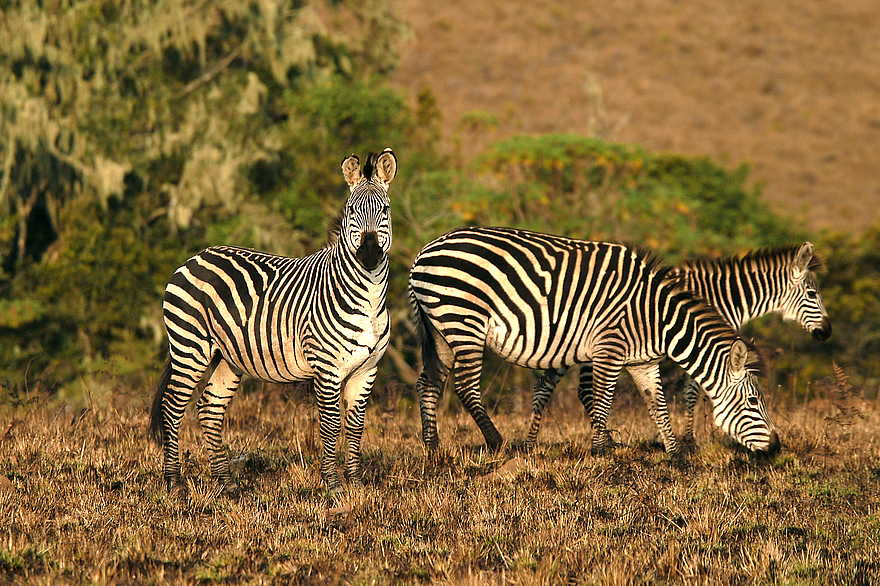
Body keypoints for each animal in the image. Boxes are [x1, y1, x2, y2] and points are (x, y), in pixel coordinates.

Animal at [149, 148, 397, 495]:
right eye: (351, 211)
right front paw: (333, 487)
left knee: (210, 407)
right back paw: (173, 482)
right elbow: (331, 424)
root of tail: (196, 256)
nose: (370, 254)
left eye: (384, 210)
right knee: (173, 406)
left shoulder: (367, 369)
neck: (368, 299)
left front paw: (356, 483)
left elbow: (356, 425)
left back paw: (226, 484)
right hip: (190, 346)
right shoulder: (327, 367)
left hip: (227, 357)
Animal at [409, 226, 780, 455]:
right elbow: (602, 400)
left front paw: (675, 455)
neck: (655, 316)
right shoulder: (609, 349)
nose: (776, 448)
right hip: (464, 320)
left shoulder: (643, 362)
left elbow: (657, 405)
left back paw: (433, 447)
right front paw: (601, 451)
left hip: (439, 329)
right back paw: (497, 442)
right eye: (753, 402)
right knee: (465, 386)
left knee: (429, 382)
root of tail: (426, 250)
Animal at [525, 242, 830, 451]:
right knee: (584, 391)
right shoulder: (698, 347)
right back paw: (602, 441)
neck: (721, 297)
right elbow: (692, 393)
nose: (826, 332)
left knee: (546, 385)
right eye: (812, 294)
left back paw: (531, 443)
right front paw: (689, 440)